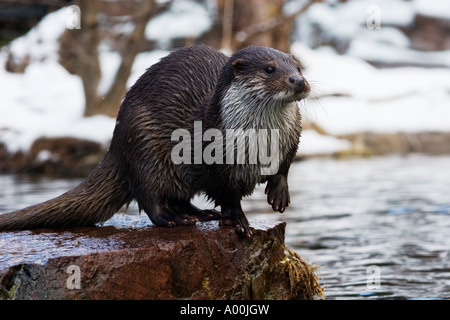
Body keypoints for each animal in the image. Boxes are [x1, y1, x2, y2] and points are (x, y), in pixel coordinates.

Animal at [0, 46, 310, 239]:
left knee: (179, 197)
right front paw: (238, 221)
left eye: (297, 67)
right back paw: (176, 219)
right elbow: (226, 193)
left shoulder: (292, 138)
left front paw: (279, 193)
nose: (298, 80)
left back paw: (201, 214)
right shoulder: (213, 159)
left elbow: (285, 166)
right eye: (269, 69)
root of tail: (115, 145)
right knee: (150, 198)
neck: (260, 145)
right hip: (144, 148)